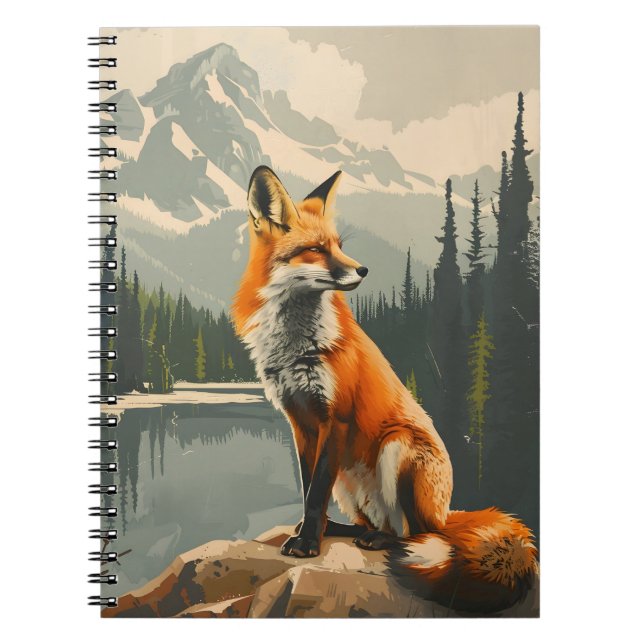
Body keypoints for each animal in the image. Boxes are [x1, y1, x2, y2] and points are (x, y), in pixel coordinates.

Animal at [232, 166, 538, 614]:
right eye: (315, 250)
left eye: (339, 246)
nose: (362, 270)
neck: (297, 347)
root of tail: (446, 514)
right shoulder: (300, 422)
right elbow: (308, 489)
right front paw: (309, 532)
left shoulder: (336, 417)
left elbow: (315, 491)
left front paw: (306, 544)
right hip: (349, 482)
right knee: (373, 520)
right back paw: (345, 530)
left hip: (397, 448)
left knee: (412, 534)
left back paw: (381, 539)